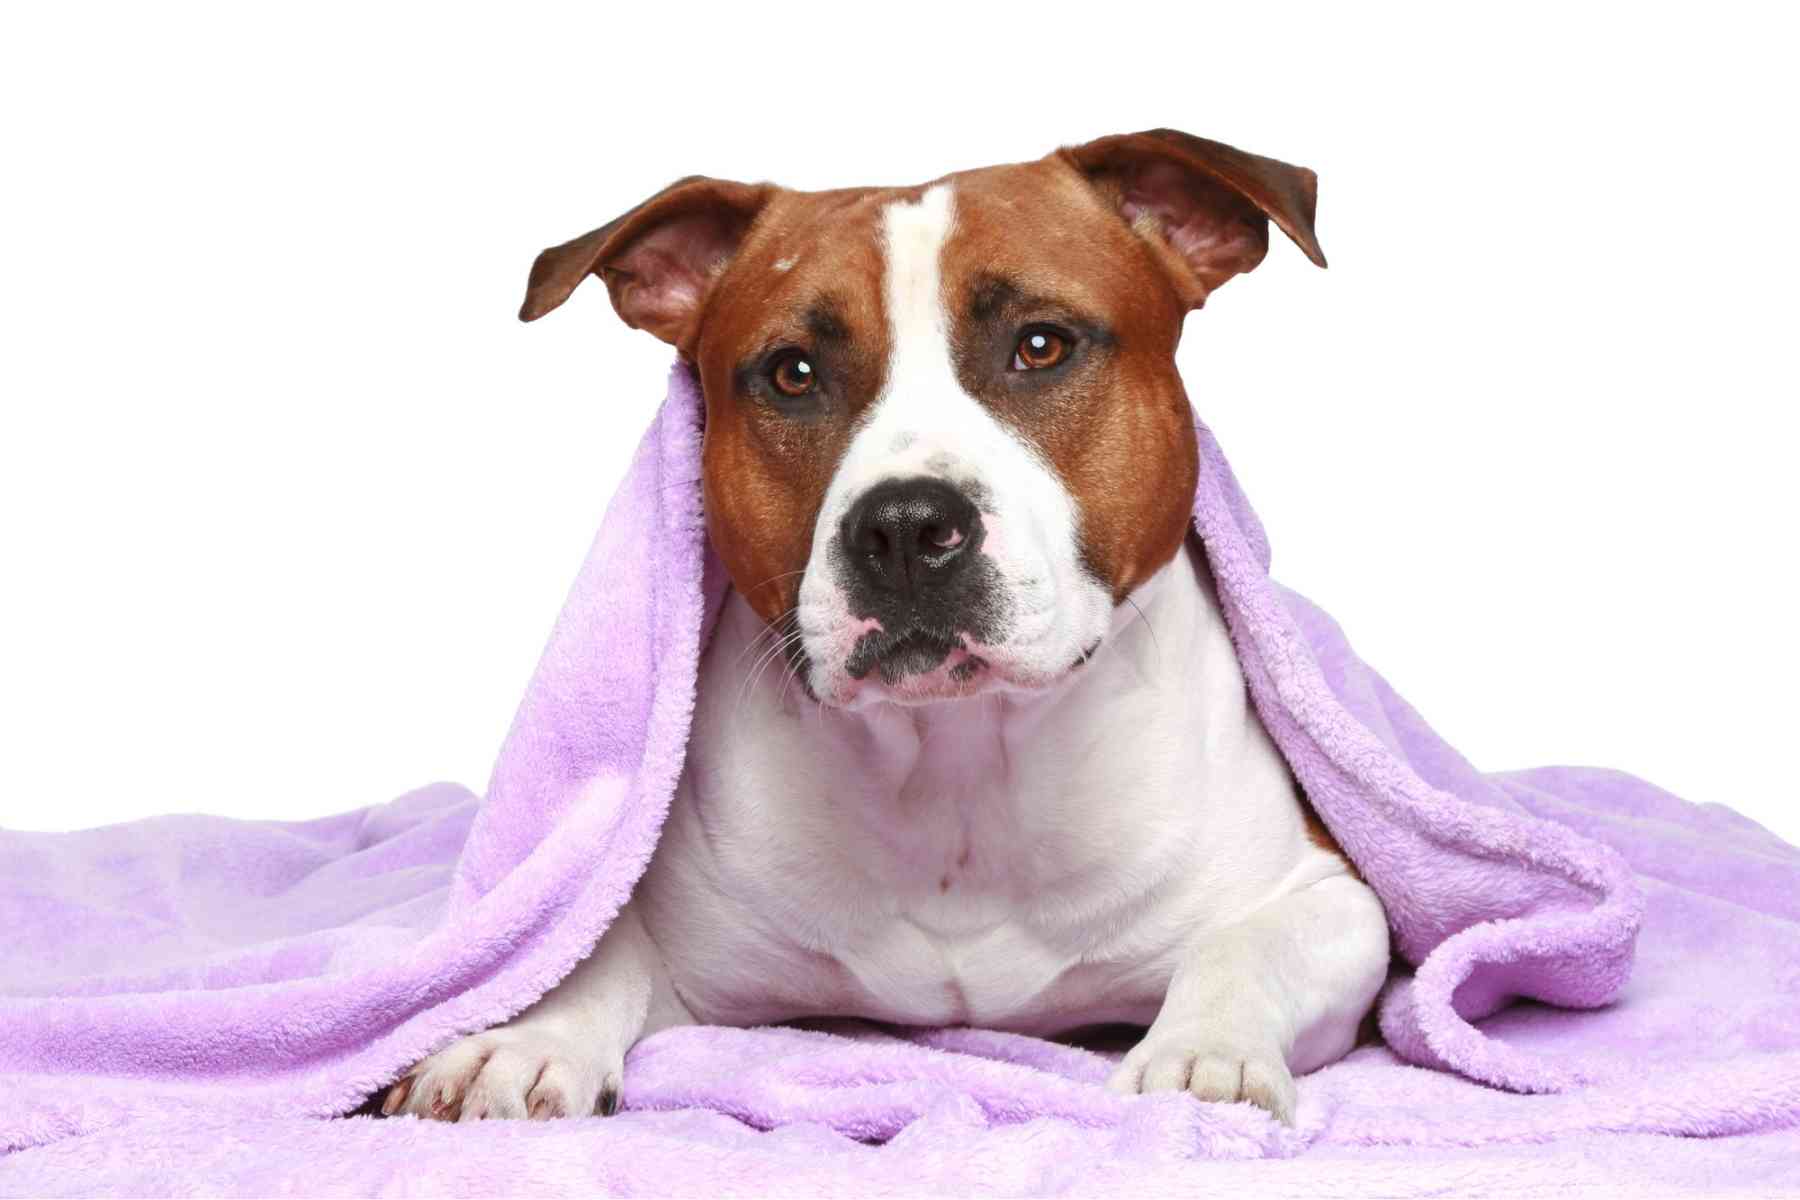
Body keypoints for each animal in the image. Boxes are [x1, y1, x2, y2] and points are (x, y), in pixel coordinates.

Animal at [379, 129, 1389, 1129]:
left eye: (1041, 346)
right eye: (792, 373)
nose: (905, 527)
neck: (957, 764)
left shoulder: (1335, 900)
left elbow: (1242, 948)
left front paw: (1202, 1054)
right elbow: (593, 948)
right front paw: (523, 1040)